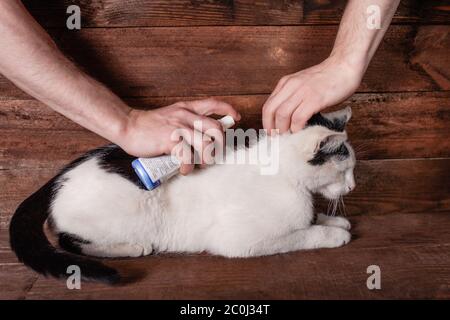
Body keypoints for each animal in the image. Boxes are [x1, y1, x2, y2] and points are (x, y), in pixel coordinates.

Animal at [8, 107, 356, 282]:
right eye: (345, 169)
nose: (352, 186)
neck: (286, 178)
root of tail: (60, 175)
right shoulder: (240, 240)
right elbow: (301, 234)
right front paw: (332, 233)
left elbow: (312, 219)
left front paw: (334, 220)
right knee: (68, 240)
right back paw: (133, 248)